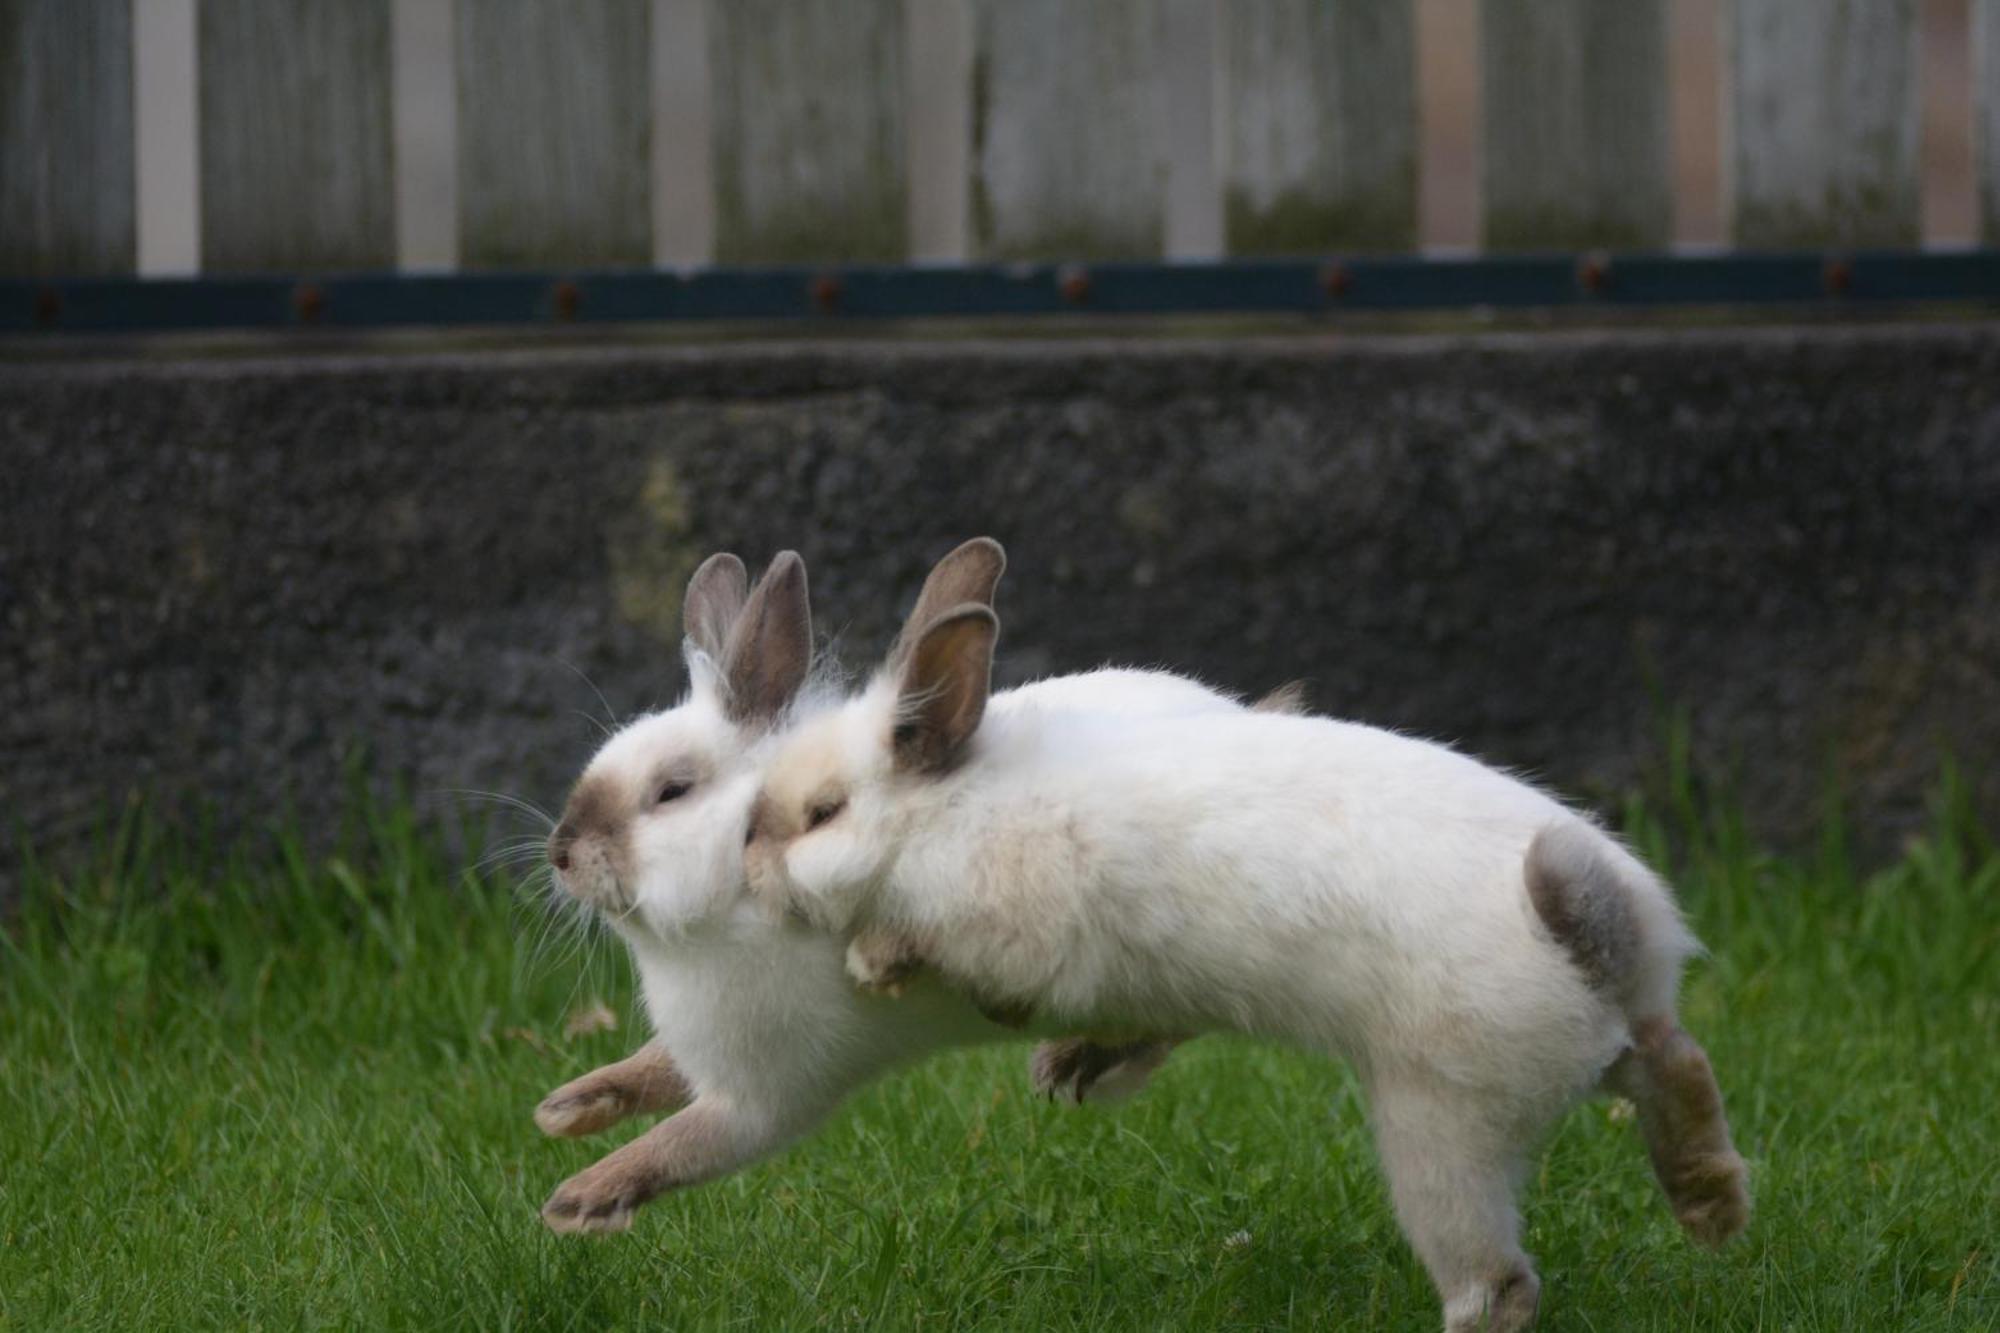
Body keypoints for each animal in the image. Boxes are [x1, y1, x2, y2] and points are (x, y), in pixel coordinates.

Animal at [532, 536, 1288, 1224]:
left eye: (672, 791)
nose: (560, 852)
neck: (734, 889)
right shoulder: (701, 1052)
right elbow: (649, 1068)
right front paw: (565, 1107)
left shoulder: (765, 1097)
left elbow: (683, 1144)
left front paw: (577, 1198)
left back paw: (1072, 1060)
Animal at [744, 556, 1744, 1320]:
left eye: (823, 813)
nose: (747, 859)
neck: (948, 809)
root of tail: (1599, 940)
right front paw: (1065, 1070)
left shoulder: (1026, 934)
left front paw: (877, 962)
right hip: (1597, 1046)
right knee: (1671, 1059)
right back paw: (1716, 1211)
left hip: (1443, 1123)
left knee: (1499, 1283)